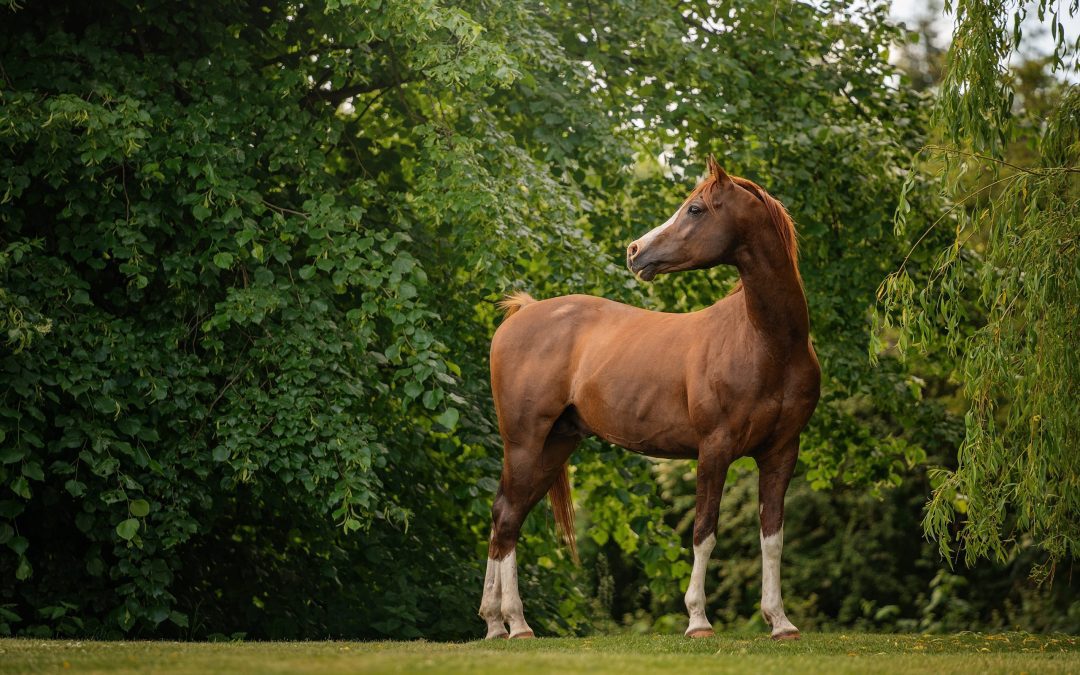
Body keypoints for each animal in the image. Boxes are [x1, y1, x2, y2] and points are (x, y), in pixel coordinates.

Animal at [481, 156, 816, 635]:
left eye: (695, 209)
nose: (635, 251)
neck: (767, 344)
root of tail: (522, 313)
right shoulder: (715, 449)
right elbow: (704, 531)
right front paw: (697, 620)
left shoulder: (781, 453)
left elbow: (772, 536)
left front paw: (781, 622)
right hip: (525, 443)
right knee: (508, 519)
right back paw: (516, 622)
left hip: (554, 446)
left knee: (503, 515)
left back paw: (493, 622)